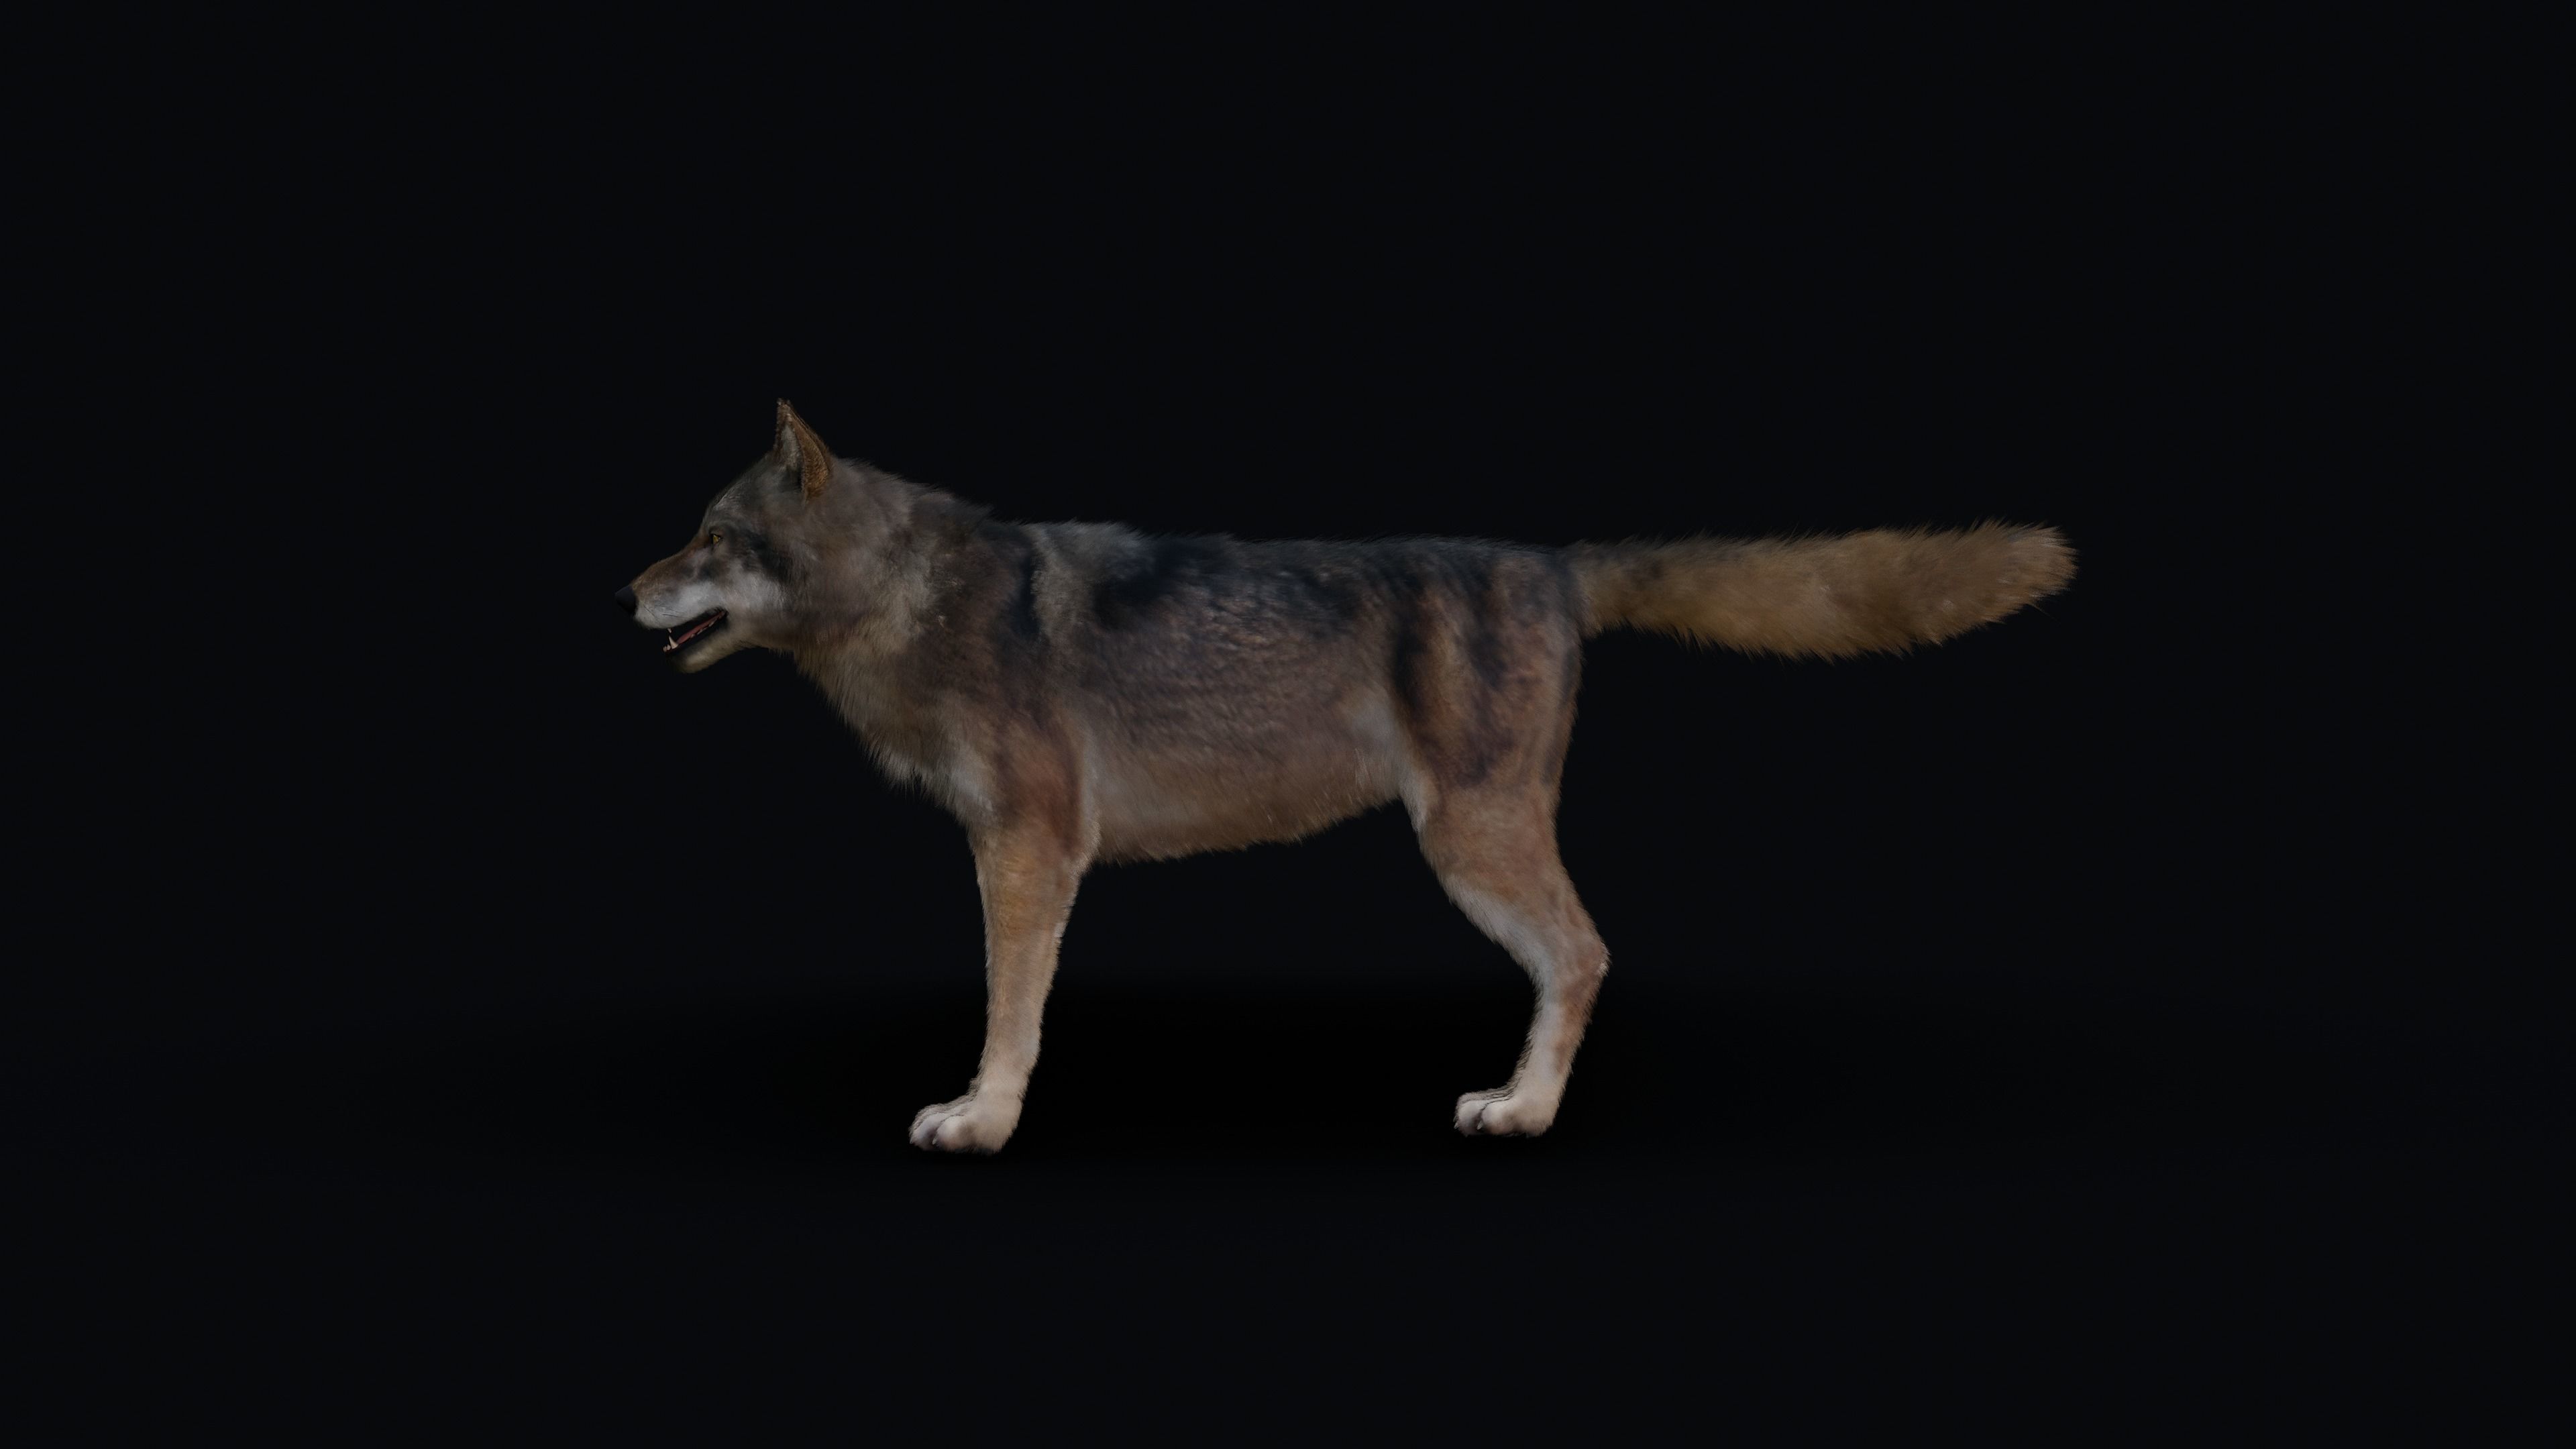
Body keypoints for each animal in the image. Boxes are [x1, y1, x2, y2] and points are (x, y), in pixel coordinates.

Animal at [616, 402, 2075, 1153]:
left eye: (710, 537)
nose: (622, 592)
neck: (907, 603)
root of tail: (1557, 564)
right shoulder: (1016, 852)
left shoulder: (1030, 849)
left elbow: (1009, 1014)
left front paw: (982, 1118)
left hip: (1469, 843)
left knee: (1587, 955)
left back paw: (1523, 1110)